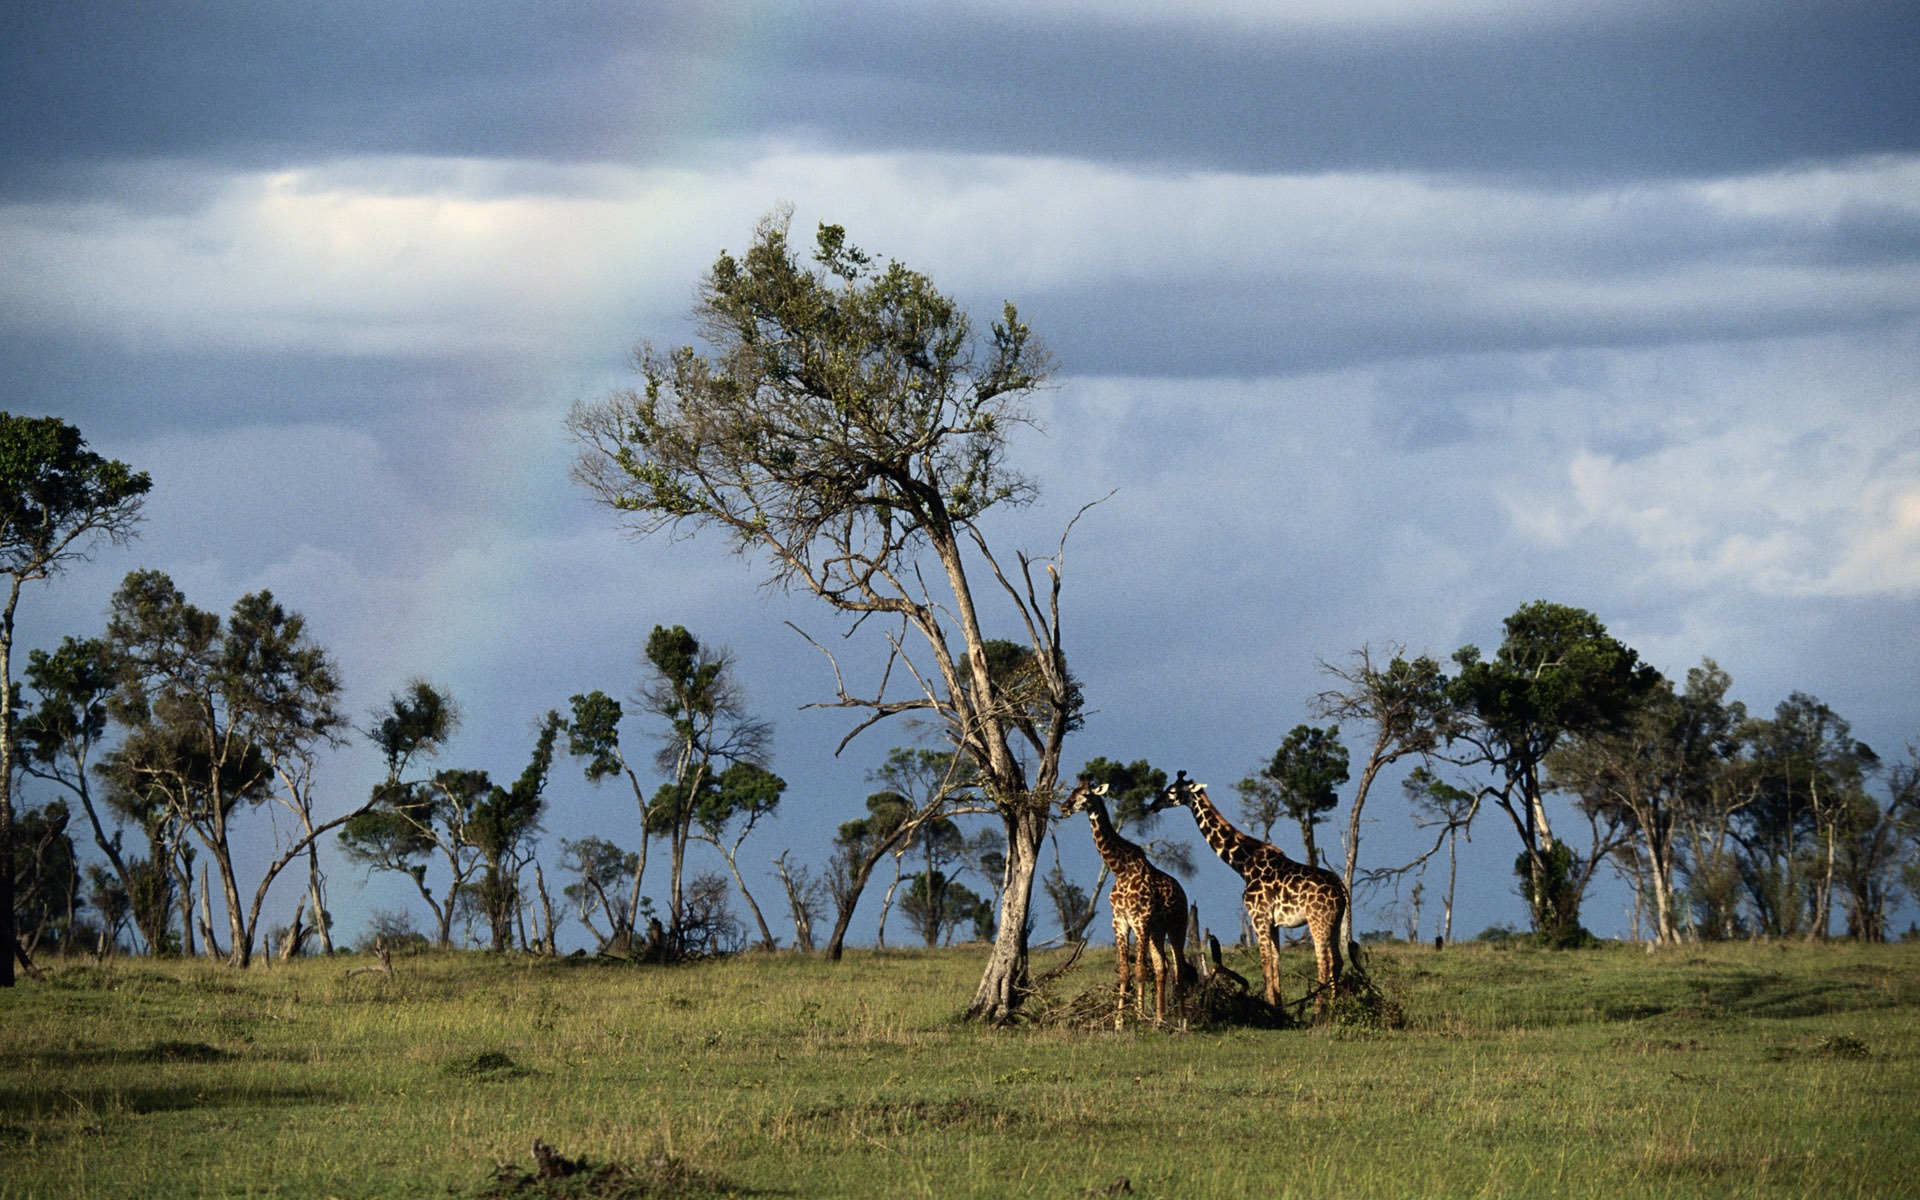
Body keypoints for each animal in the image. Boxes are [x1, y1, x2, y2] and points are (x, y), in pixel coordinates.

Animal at [1059, 783, 1190, 1021]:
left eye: (1085, 794)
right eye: (1072, 792)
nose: (1063, 807)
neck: (1119, 869)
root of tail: (1182, 892)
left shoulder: (1140, 920)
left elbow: (1140, 971)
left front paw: (1138, 1018)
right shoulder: (1120, 921)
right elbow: (1124, 972)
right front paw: (1120, 1021)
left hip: (1178, 926)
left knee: (1179, 968)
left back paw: (1181, 1021)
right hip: (1157, 930)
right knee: (1163, 966)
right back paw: (1160, 1020)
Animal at [1152, 768, 1351, 1013]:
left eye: (1172, 791)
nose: (1153, 806)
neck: (1243, 865)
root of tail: (1342, 889)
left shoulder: (1258, 916)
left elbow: (1265, 961)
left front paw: (1271, 1007)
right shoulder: (1273, 922)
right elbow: (1275, 961)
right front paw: (1278, 1007)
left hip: (1318, 920)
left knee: (1324, 961)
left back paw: (1317, 1010)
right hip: (1335, 921)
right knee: (1337, 960)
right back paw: (1334, 1006)